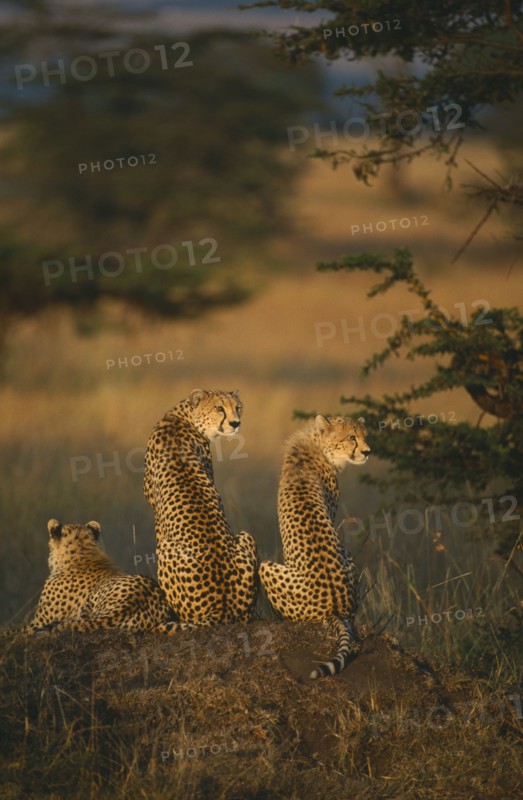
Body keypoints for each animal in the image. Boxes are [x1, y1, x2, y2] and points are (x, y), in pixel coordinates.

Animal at [144, 388, 258, 624]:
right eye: (219, 408)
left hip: (165, 550)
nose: (235, 423)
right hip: (246, 536)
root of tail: (223, 608)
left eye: (237, 407)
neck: (184, 417)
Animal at [259, 414, 370, 679]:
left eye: (365, 436)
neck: (318, 445)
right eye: (352, 437)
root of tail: (333, 608)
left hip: (266, 566)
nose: (367, 451)